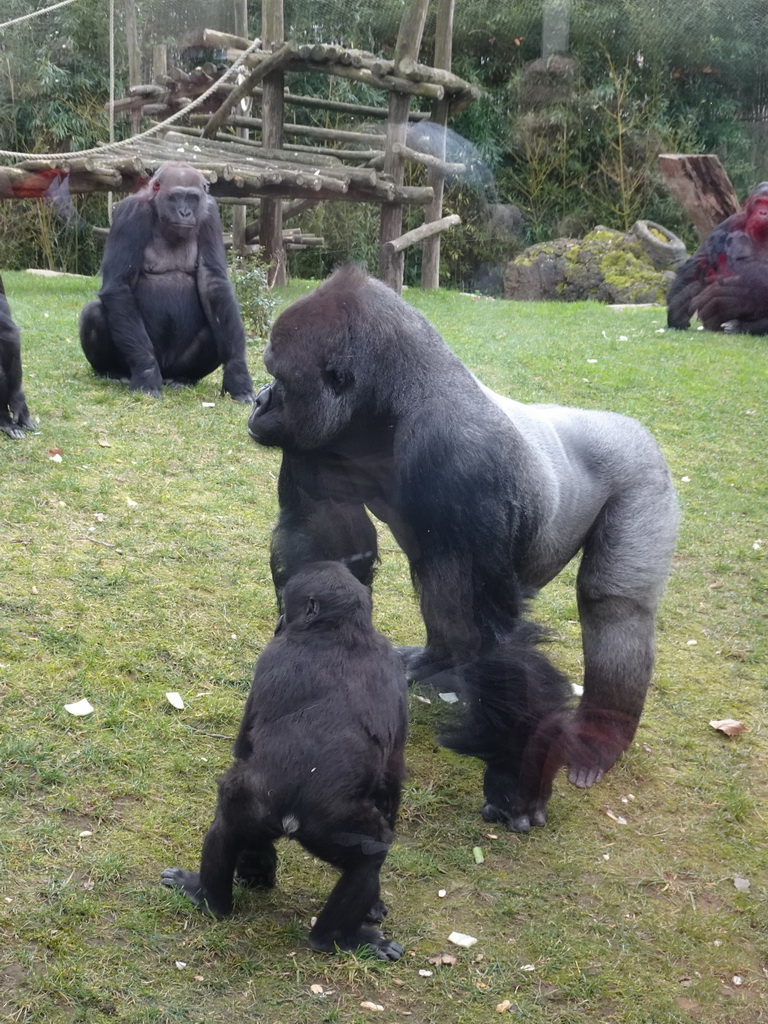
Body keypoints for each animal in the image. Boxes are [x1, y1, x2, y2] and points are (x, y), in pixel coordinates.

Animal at [80, 161, 256, 397]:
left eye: (192, 198)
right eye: (175, 197)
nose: (185, 212)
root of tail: (165, 372)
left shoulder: (210, 213)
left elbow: (213, 284)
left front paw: (237, 374)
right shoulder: (130, 213)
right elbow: (119, 285)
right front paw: (146, 372)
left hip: (175, 365)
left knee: (214, 327)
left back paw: (184, 378)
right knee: (94, 312)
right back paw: (111, 371)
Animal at [249, 264, 684, 831]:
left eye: (279, 378)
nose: (258, 399)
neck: (390, 403)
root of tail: (629, 425)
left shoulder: (461, 456)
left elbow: (493, 633)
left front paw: (517, 780)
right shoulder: (318, 440)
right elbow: (325, 550)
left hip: (643, 470)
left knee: (613, 606)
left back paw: (600, 737)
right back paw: (436, 661)